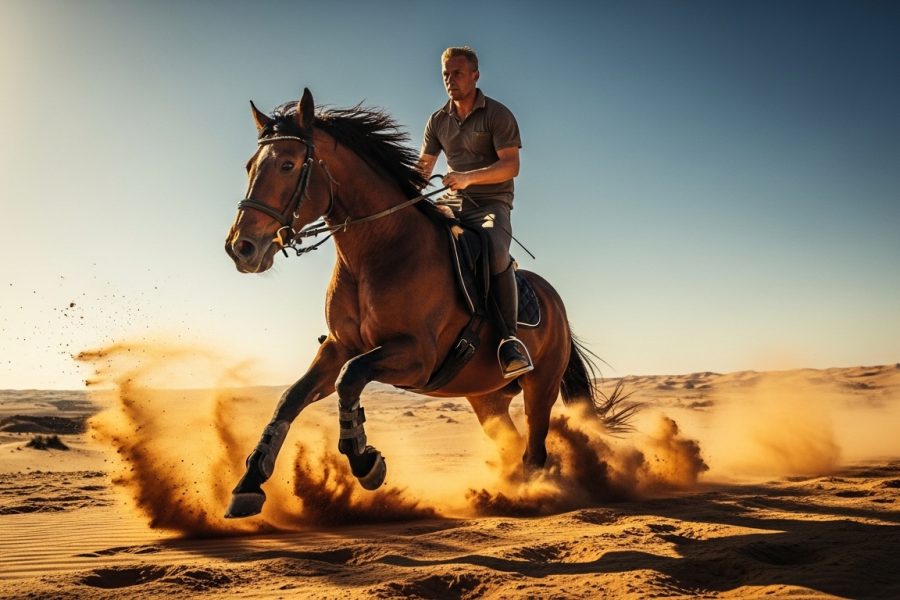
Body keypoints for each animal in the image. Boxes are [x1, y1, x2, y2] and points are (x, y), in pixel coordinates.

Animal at [223, 89, 628, 518]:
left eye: (287, 164)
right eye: (250, 166)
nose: (241, 247)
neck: (377, 251)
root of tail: (555, 302)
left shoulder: (416, 356)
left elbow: (350, 378)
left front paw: (366, 462)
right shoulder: (339, 347)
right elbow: (291, 398)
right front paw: (249, 484)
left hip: (540, 386)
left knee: (534, 448)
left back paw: (532, 494)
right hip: (486, 398)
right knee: (511, 440)